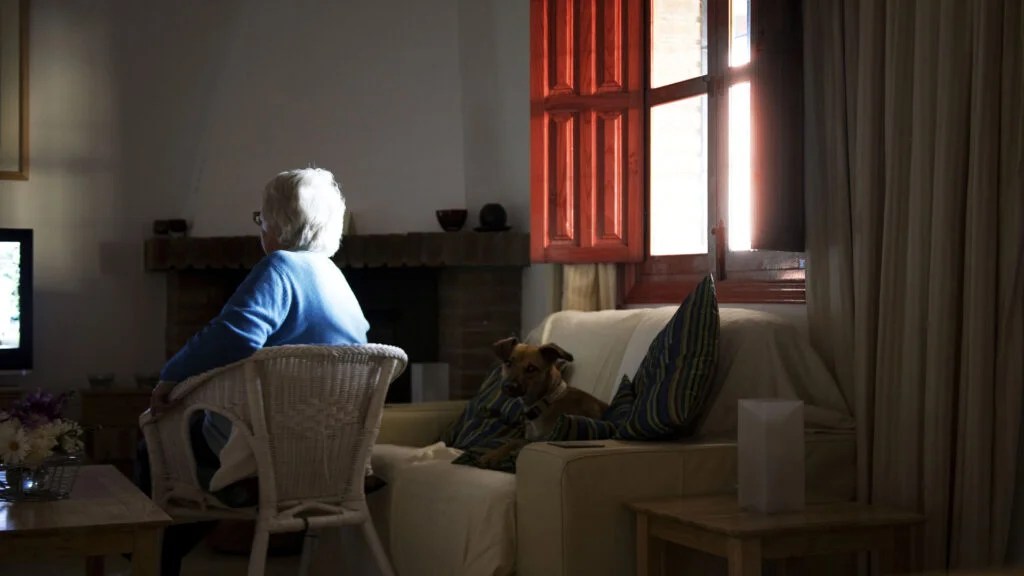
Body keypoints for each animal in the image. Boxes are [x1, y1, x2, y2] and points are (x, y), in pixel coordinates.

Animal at [479, 336, 606, 467]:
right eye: (508, 363)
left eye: (531, 368)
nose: (508, 386)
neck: (545, 402)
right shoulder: (528, 438)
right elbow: (514, 441)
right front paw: (493, 454)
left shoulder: (543, 439)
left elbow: (521, 443)